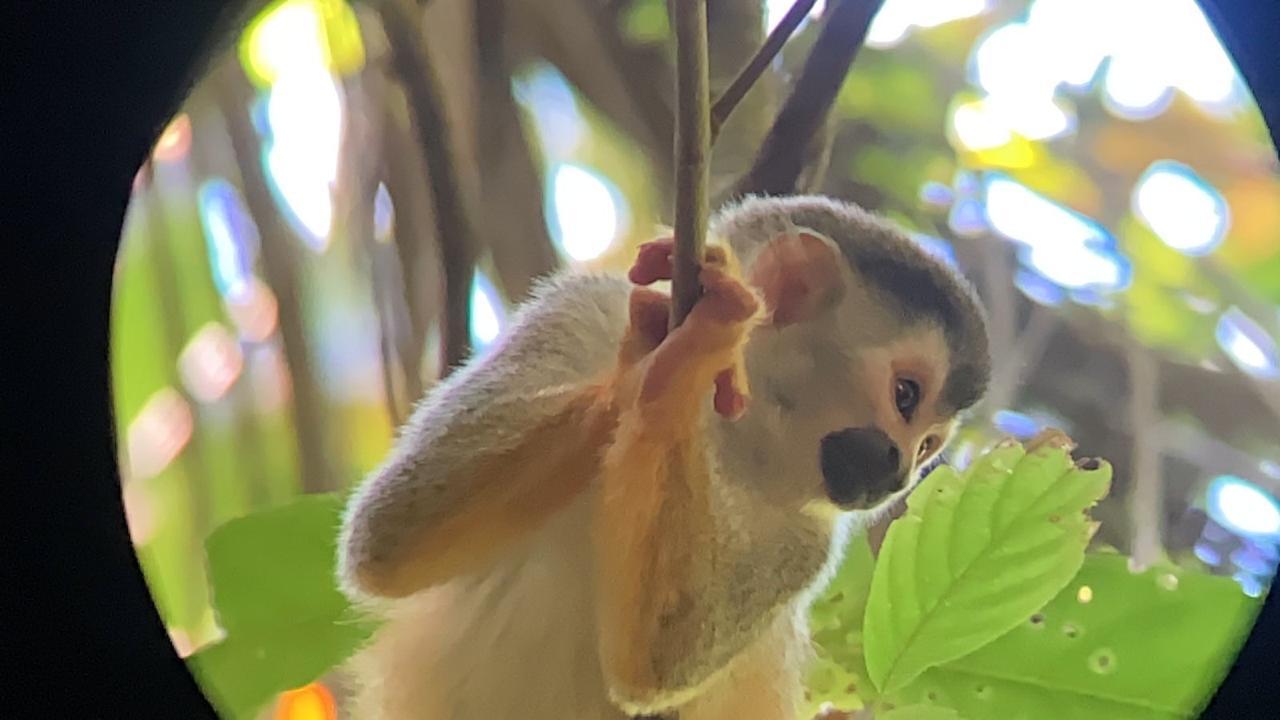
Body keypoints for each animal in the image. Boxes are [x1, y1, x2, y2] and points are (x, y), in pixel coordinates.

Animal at [336, 194, 992, 720]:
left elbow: (659, 657)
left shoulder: (809, 540)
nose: (899, 473)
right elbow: (390, 535)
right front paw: (656, 351)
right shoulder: (578, 310)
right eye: (905, 396)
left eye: (929, 446)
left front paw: (687, 354)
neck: (732, 434)